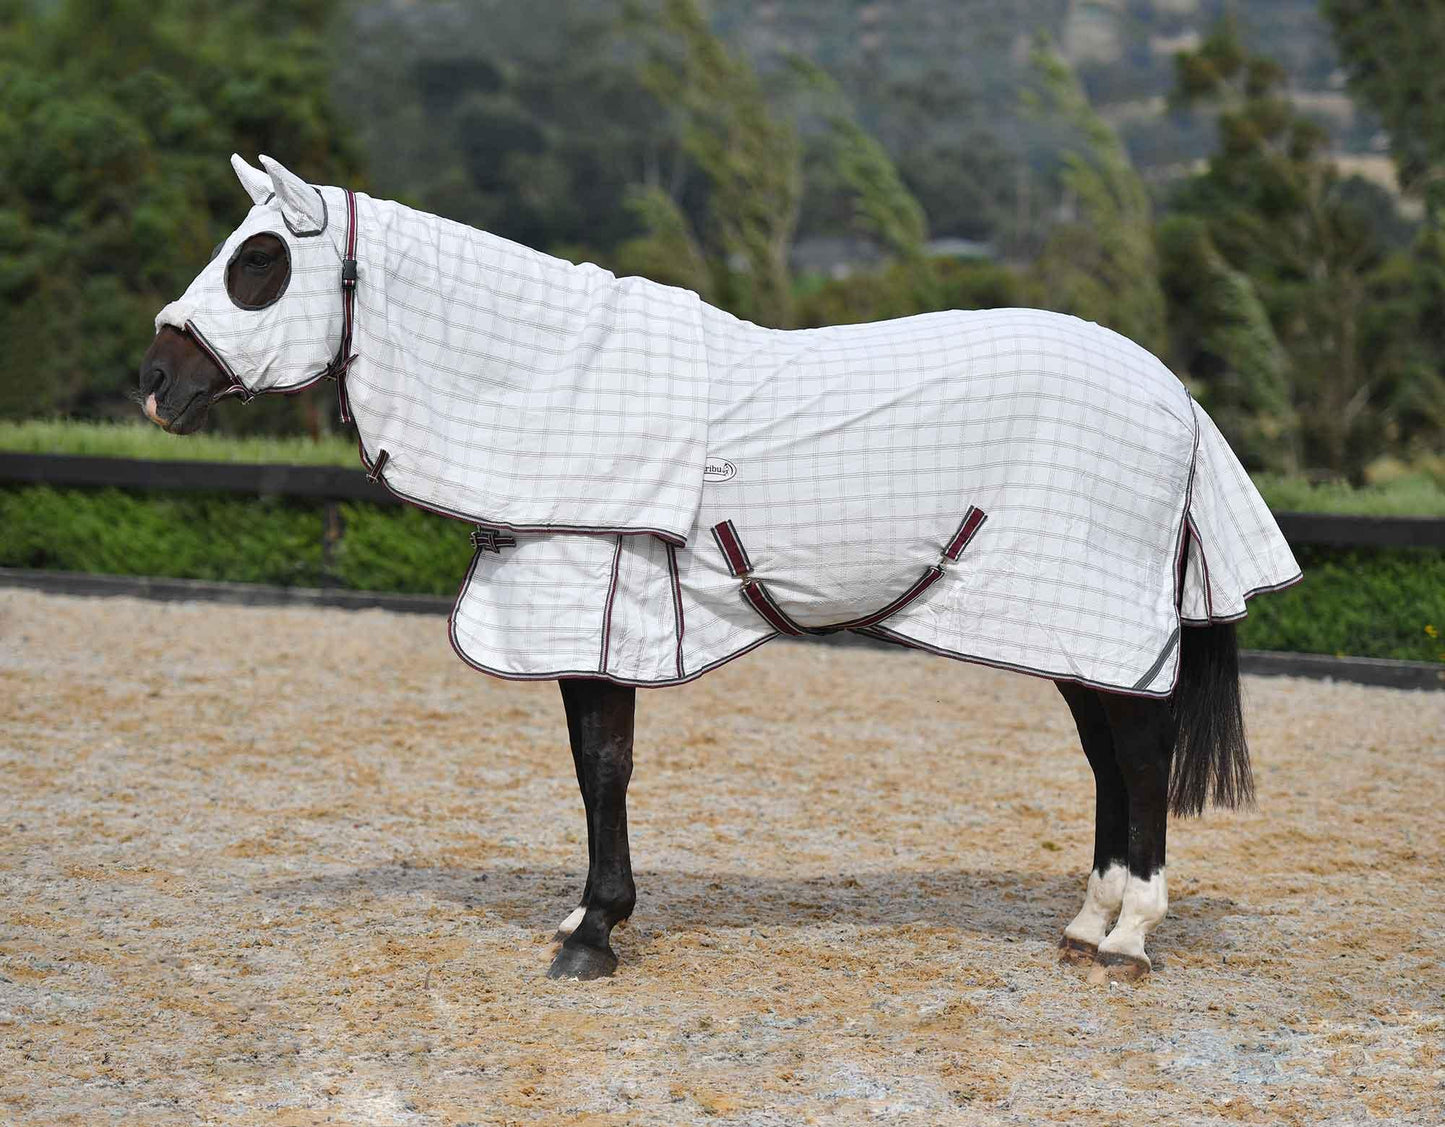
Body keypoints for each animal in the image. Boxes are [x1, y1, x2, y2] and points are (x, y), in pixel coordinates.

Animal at [138, 154, 1301, 983]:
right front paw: (584, 912)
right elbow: (586, 766)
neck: (549, 385)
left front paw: (595, 933)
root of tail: (1174, 393)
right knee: (1111, 757)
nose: (154, 380)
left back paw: (1128, 935)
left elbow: (605, 767)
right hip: (1061, 626)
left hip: (1089, 618)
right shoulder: (589, 624)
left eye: (257, 262)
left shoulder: (596, 612)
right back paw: (1085, 922)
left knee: (1139, 755)